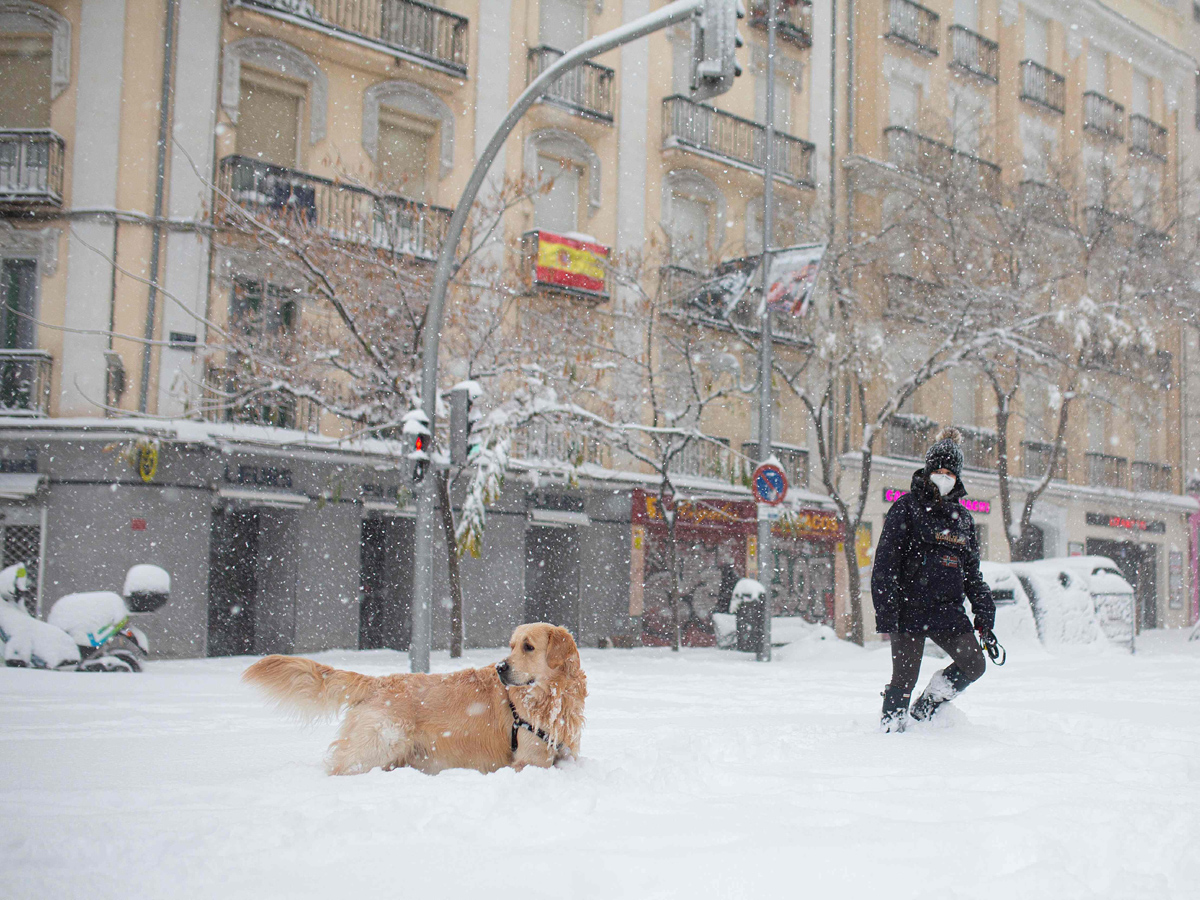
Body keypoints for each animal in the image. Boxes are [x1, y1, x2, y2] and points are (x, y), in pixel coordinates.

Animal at [240, 624, 585, 777]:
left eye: (528, 646)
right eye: (512, 646)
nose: (501, 667)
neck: (554, 696)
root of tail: (378, 681)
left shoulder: (565, 752)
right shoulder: (530, 759)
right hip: (377, 745)